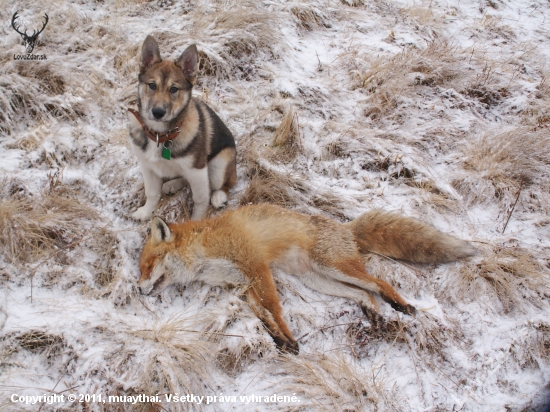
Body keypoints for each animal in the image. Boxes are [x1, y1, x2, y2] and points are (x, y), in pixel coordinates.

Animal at [129, 34, 237, 222]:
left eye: (174, 89)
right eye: (152, 85)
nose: (158, 113)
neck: (160, 134)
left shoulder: (198, 169)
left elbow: (200, 199)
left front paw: (196, 221)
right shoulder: (147, 166)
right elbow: (152, 193)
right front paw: (146, 212)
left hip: (220, 163)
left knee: (224, 184)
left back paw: (219, 196)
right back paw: (173, 184)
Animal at [136, 204, 476, 352]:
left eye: (148, 266)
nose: (137, 289)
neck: (205, 250)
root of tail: (345, 228)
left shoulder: (256, 267)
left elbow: (274, 308)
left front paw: (288, 337)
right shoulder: (244, 284)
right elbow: (261, 315)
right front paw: (279, 340)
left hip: (332, 267)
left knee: (380, 283)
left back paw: (400, 305)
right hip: (319, 279)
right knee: (363, 293)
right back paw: (373, 313)